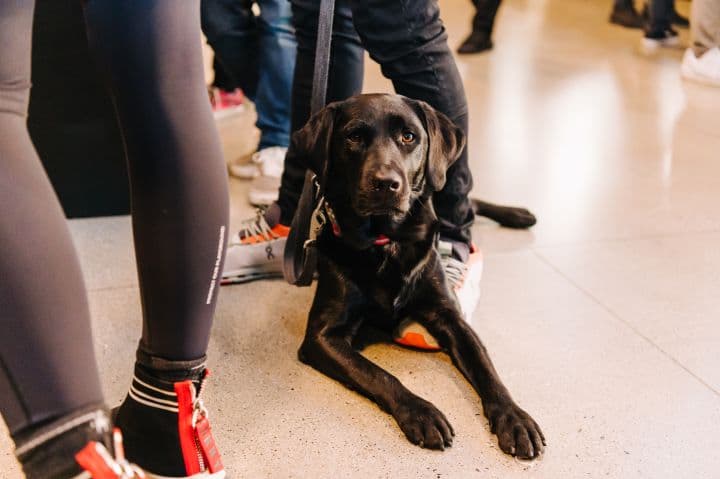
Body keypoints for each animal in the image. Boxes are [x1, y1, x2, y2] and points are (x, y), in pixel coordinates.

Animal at [292, 92, 544, 460]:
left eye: (409, 136)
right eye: (353, 136)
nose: (386, 183)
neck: (387, 241)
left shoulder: (450, 316)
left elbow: (487, 370)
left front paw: (514, 418)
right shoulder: (321, 337)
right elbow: (378, 374)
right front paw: (422, 413)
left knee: (468, 205)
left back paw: (518, 214)